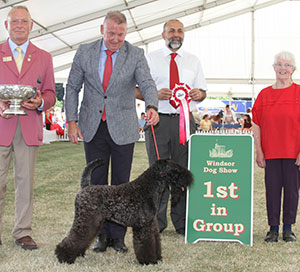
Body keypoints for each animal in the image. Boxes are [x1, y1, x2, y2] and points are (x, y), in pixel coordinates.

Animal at [55, 158, 193, 264]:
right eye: (175, 170)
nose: (189, 178)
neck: (148, 189)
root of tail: (85, 187)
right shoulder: (143, 226)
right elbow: (146, 244)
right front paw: (148, 261)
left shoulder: (152, 224)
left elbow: (156, 241)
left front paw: (158, 257)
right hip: (86, 220)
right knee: (74, 237)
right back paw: (63, 256)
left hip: (93, 222)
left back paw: (78, 254)